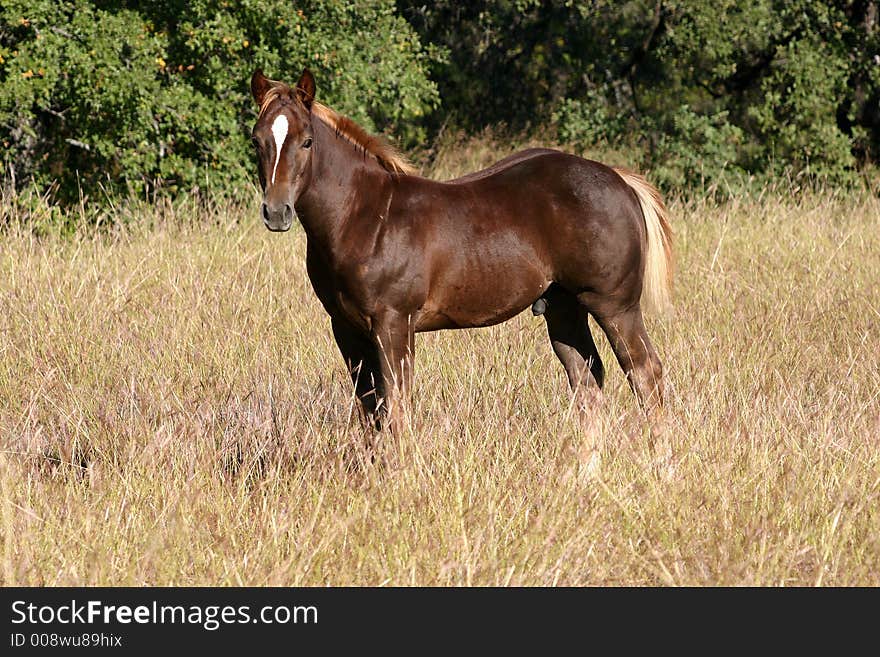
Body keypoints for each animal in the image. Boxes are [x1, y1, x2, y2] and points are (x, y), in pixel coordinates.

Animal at [248, 68, 672, 436]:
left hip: (614, 305)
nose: (276, 212)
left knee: (645, 373)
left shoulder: (393, 324)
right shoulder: (347, 329)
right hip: (563, 310)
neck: (365, 216)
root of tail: (620, 179)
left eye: (307, 141)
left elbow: (397, 408)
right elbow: (371, 412)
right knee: (586, 380)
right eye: (257, 140)